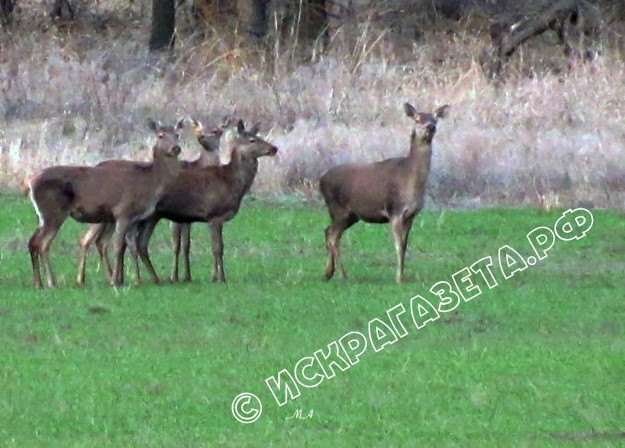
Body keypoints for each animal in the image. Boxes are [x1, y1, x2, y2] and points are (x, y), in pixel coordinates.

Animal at [26, 118, 183, 288]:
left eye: (177, 135)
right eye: (160, 135)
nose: (176, 148)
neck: (150, 183)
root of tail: (31, 182)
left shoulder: (135, 218)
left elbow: (133, 247)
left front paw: (137, 281)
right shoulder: (123, 212)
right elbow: (118, 247)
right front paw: (115, 281)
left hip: (43, 216)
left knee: (33, 242)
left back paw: (38, 283)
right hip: (53, 212)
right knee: (43, 244)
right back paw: (51, 282)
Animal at [75, 118, 221, 286]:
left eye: (217, 131)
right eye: (160, 135)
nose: (202, 139)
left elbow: (186, 244)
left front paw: (187, 276)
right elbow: (177, 244)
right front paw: (176, 277)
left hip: (109, 219)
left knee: (99, 241)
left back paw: (109, 277)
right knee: (89, 239)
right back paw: (92, 278)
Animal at [132, 119, 278, 284]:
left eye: (259, 137)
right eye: (252, 140)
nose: (274, 148)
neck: (231, 183)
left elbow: (215, 247)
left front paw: (214, 276)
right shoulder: (214, 215)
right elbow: (217, 248)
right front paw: (220, 278)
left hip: (151, 217)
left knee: (139, 243)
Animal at [319, 103, 449, 284]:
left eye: (435, 119)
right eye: (417, 119)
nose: (430, 127)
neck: (410, 179)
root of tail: (321, 180)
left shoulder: (411, 215)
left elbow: (405, 246)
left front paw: (403, 276)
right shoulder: (395, 210)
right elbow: (398, 246)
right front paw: (399, 279)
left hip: (351, 215)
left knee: (328, 231)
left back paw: (328, 273)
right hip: (338, 209)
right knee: (333, 237)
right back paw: (343, 276)